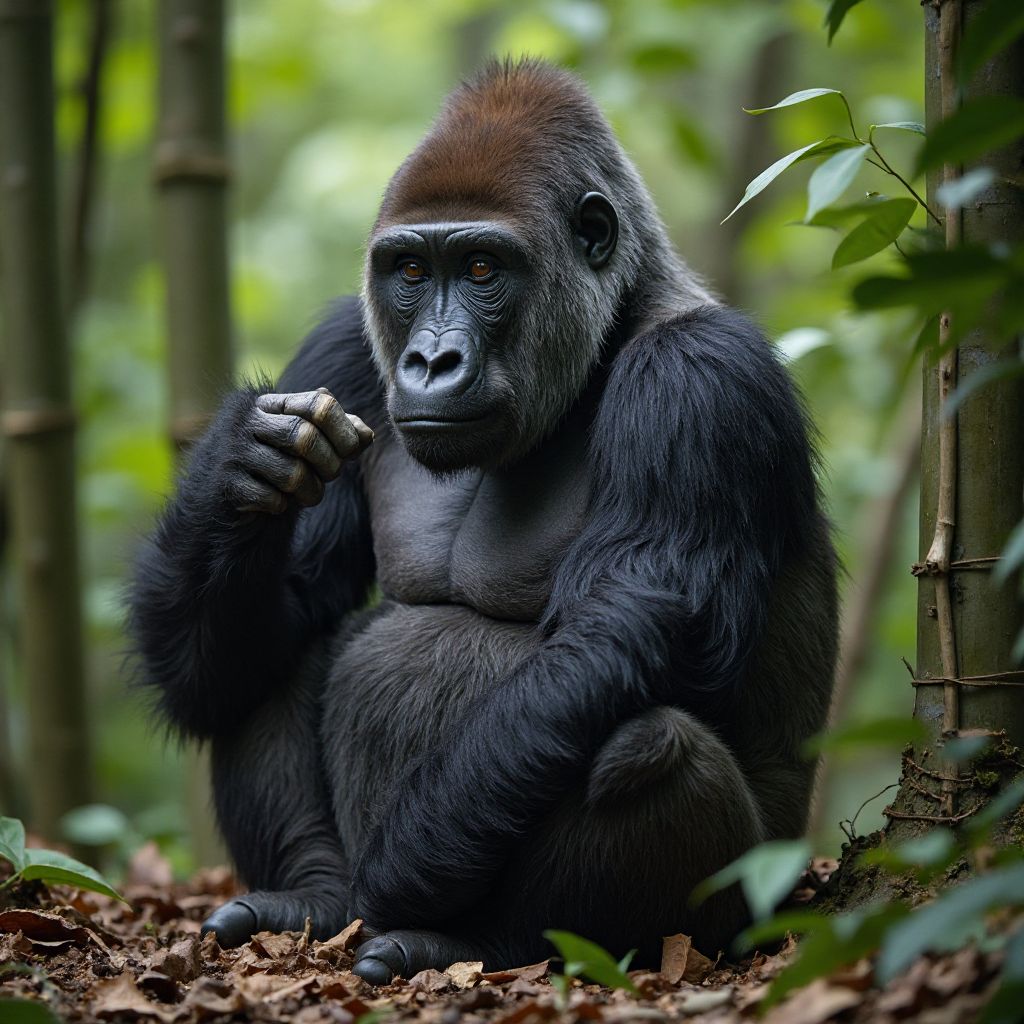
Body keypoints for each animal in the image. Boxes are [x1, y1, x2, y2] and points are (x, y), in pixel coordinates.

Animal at [129, 58, 837, 984]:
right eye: (408, 271)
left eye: (478, 268)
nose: (431, 360)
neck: (613, 328)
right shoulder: (342, 346)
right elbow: (257, 632)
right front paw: (236, 470)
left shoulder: (703, 379)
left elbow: (614, 634)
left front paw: (399, 879)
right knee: (267, 653)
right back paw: (312, 894)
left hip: (747, 912)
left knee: (648, 753)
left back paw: (486, 945)